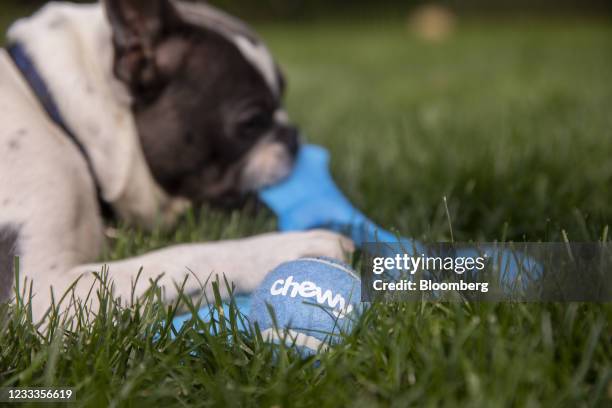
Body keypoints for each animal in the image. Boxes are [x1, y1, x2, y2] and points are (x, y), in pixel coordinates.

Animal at [0, 0, 354, 324]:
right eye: (252, 122)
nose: (292, 135)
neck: (59, 119)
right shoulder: (38, 292)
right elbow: (183, 256)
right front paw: (297, 247)